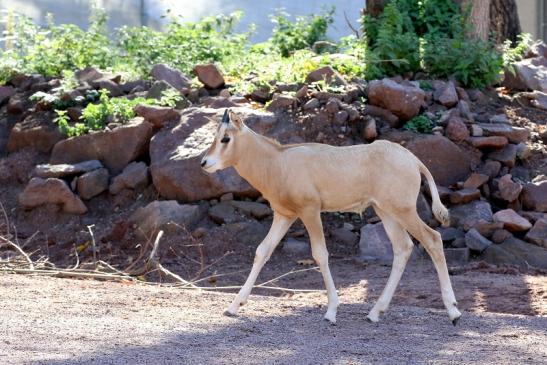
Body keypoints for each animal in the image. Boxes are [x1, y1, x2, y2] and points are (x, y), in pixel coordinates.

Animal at [201, 109, 462, 324]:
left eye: (226, 138)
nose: (204, 162)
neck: (278, 160)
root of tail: (414, 160)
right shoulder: (285, 215)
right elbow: (262, 251)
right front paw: (234, 306)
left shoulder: (310, 211)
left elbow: (320, 254)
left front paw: (331, 312)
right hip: (386, 211)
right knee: (403, 247)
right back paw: (375, 312)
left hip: (403, 210)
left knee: (433, 239)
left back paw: (453, 312)